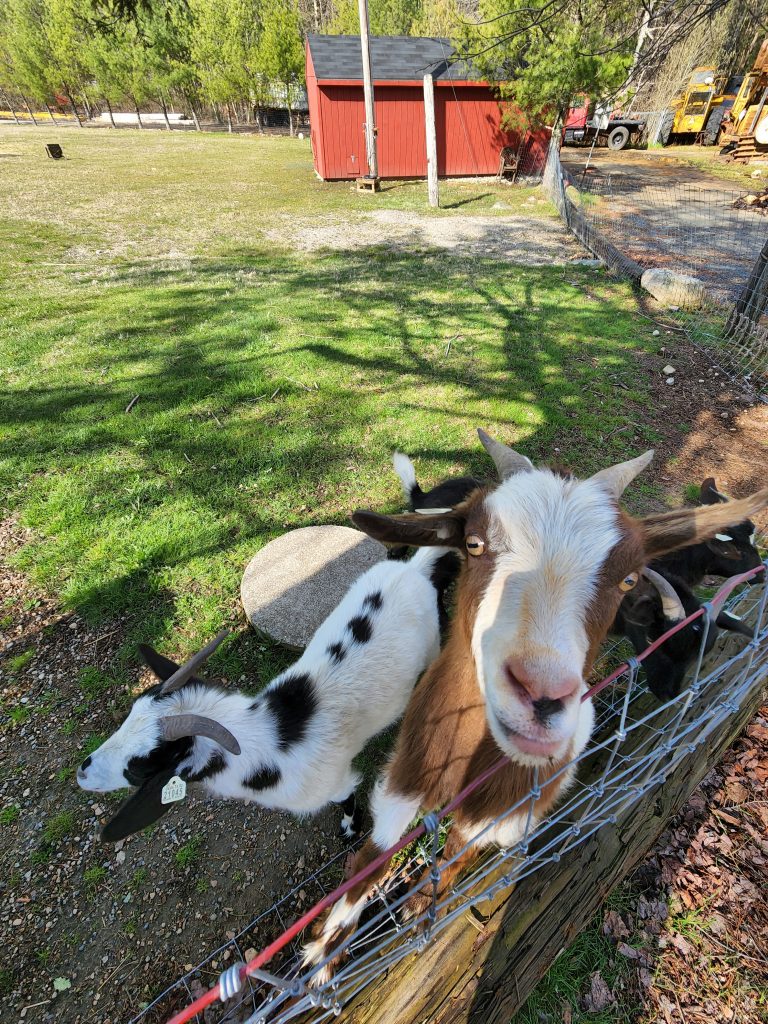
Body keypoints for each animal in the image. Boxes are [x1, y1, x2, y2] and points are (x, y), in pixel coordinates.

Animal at [78, 548, 460, 843]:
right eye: (128, 715)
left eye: (140, 765)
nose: (82, 772)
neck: (268, 744)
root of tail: (413, 569)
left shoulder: (335, 783)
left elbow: (348, 800)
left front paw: (351, 830)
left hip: (432, 647)